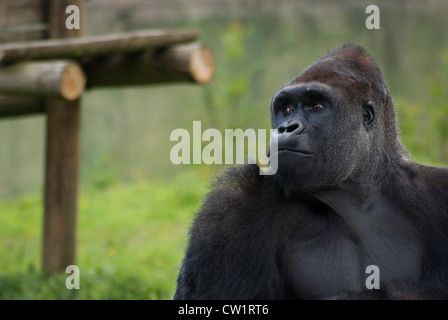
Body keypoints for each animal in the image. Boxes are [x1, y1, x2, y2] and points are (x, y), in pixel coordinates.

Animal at [172, 43, 448, 298]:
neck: (354, 196)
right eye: (286, 110)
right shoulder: (232, 204)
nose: (286, 127)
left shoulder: (435, 191)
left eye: (317, 106)